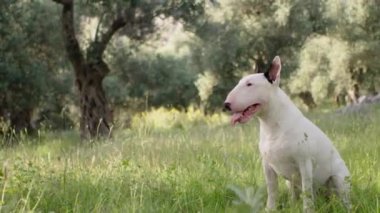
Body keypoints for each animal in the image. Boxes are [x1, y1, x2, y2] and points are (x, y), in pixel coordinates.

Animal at [223, 56, 350, 211]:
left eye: (249, 84)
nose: (226, 104)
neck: (272, 125)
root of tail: (325, 197)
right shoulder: (267, 166)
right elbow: (272, 190)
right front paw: (270, 209)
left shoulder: (305, 164)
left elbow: (307, 191)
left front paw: (307, 210)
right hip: (290, 182)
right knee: (294, 194)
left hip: (339, 179)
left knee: (342, 198)